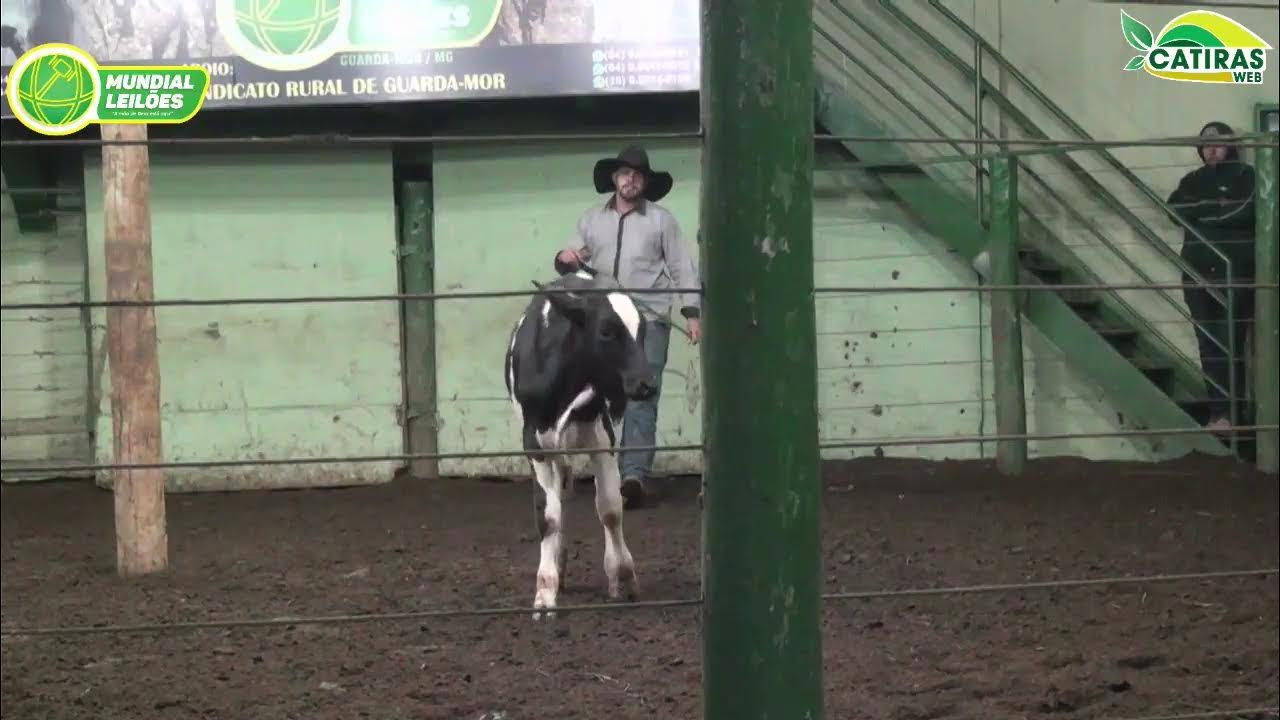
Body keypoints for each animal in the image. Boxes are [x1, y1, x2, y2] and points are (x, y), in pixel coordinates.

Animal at [504, 266, 655, 614]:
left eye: (642, 331)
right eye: (607, 331)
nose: (646, 384)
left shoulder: (602, 437)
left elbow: (611, 509)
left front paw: (622, 576)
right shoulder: (535, 443)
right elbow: (548, 515)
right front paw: (545, 591)